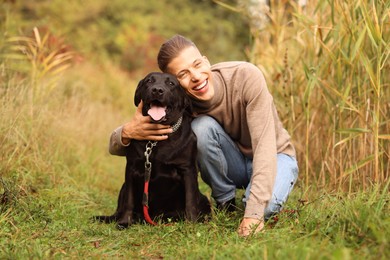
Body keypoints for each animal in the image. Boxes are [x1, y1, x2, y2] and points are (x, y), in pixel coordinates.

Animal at [93, 71, 210, 228]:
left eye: (171, 83)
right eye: (149, 81)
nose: (157, 90)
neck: (156, 140)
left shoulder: (188, 170)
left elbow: (190, 200)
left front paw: (191, 223)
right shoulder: (131, 168)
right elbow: (129, 200)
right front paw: (125, 222)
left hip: (204, 199)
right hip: (123, 188)